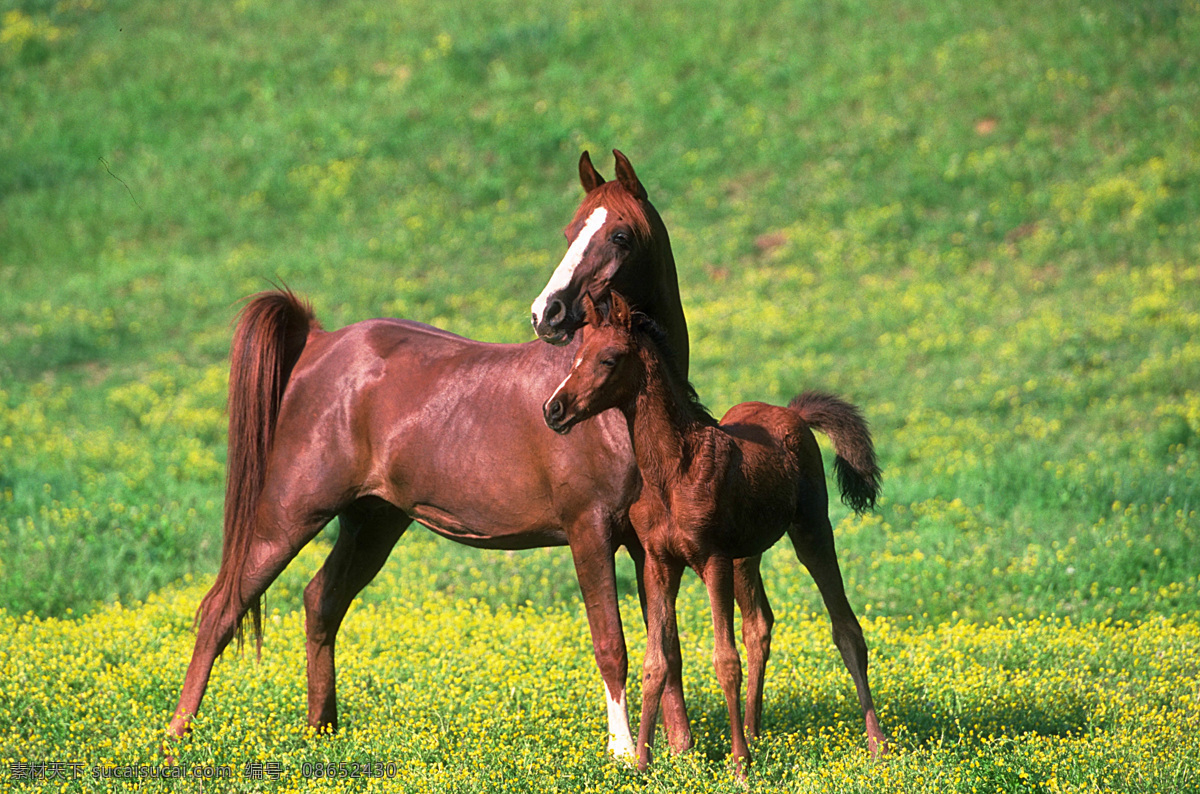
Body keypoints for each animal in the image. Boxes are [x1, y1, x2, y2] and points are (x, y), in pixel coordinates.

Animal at [165, 151, 709, 761]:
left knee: (320, 600)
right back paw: (176, 737)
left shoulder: (648, 546)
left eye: (619, 235)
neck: (614, 408)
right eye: (570, 232)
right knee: (221, 607)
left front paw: (681, 754)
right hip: (288, 514)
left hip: (373, 522)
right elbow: (611, 644)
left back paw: (320, 733)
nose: (547, 313)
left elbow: (666, 649)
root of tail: (319, 343)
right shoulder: (588, 532)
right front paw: (622, 754)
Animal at [542, 292, 887, 773]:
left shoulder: (712, 560)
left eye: (608, 359)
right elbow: (656, 661)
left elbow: (725, 660)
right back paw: (757, 732)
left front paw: (739, 764)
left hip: (811, 530)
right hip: (748, 553)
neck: (673, 471)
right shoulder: (659, 563)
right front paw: (643, 764)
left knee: (846, 629)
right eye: (576, 358)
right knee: (759, 625)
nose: (553, 410)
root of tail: (793, 413)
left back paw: (877, 744)